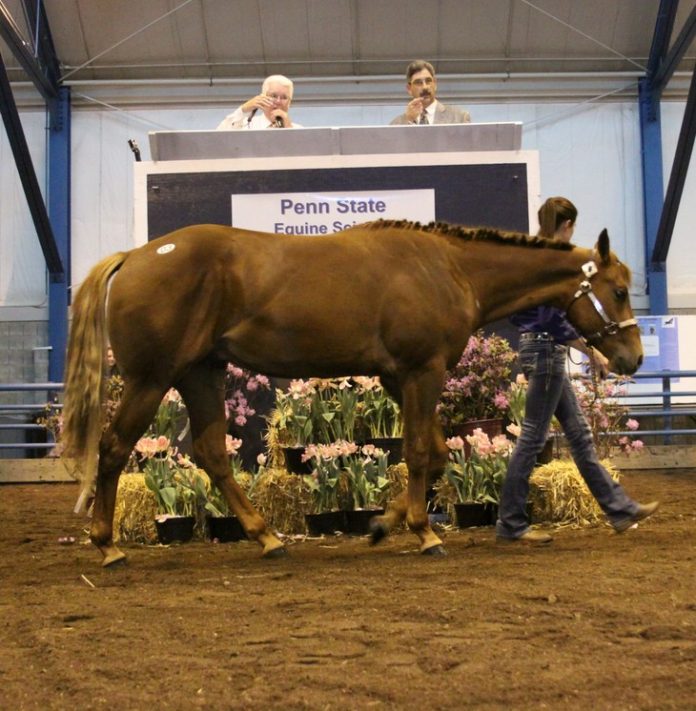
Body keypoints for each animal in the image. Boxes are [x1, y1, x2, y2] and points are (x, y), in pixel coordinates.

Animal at [61, 220, 643, 566]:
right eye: (618, 290)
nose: (632, 359)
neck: (448, 267)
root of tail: (135, 255)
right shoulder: (422, 371)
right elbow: (418, 452)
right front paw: (423, 533)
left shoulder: (398, 377)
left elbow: (434, 453)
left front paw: (384, 525)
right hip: (153, 379)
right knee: (113, 448)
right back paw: (107, 545)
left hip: (200, 373)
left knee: (211, 455)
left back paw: (266, 536)